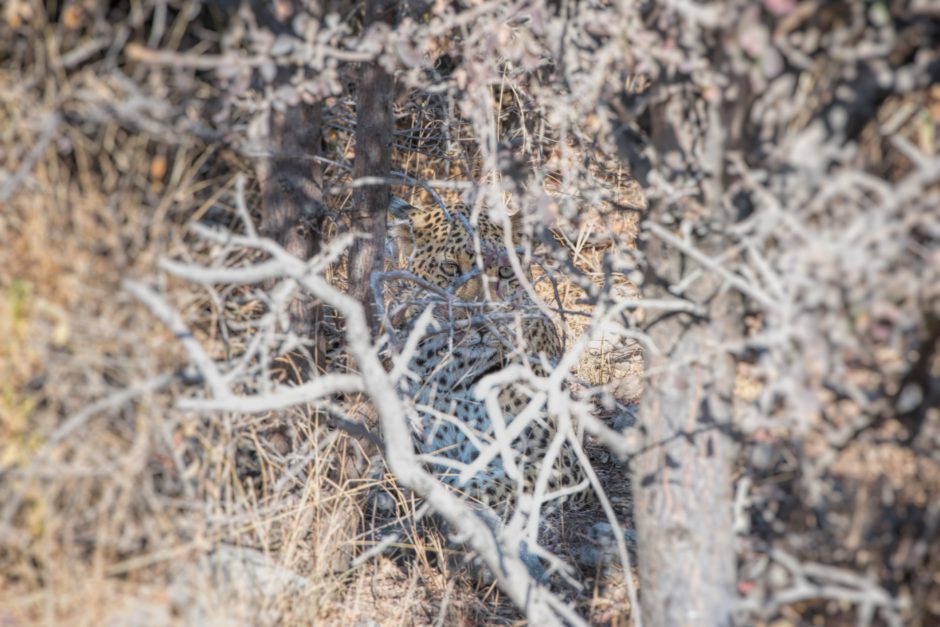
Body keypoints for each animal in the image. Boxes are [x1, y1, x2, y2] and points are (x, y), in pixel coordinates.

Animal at [386, 197, 584, 520]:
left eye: (504, 272)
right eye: (451, 267)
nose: (480, 322)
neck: (458, 372)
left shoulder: (558, 460)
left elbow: (490, 485)